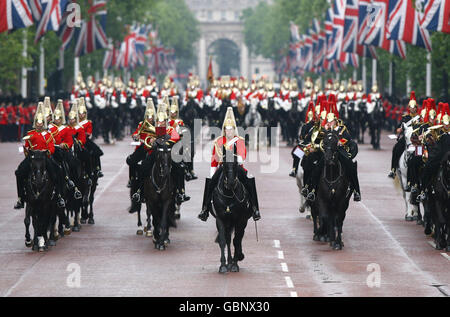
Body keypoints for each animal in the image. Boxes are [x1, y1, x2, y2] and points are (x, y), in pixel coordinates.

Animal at [211, 144, 253, 272]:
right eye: (224, 164)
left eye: (235, 163)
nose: (230, 183)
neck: (229, 195)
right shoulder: (220, 218)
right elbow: (223, 240)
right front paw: (223, 265)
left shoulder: (240, 219)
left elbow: (237, 240)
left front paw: (235, 263)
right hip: (229, 222)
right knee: (228, 238)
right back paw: (229, 262)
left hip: (242, 221)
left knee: (238, 238)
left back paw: (236, 258)